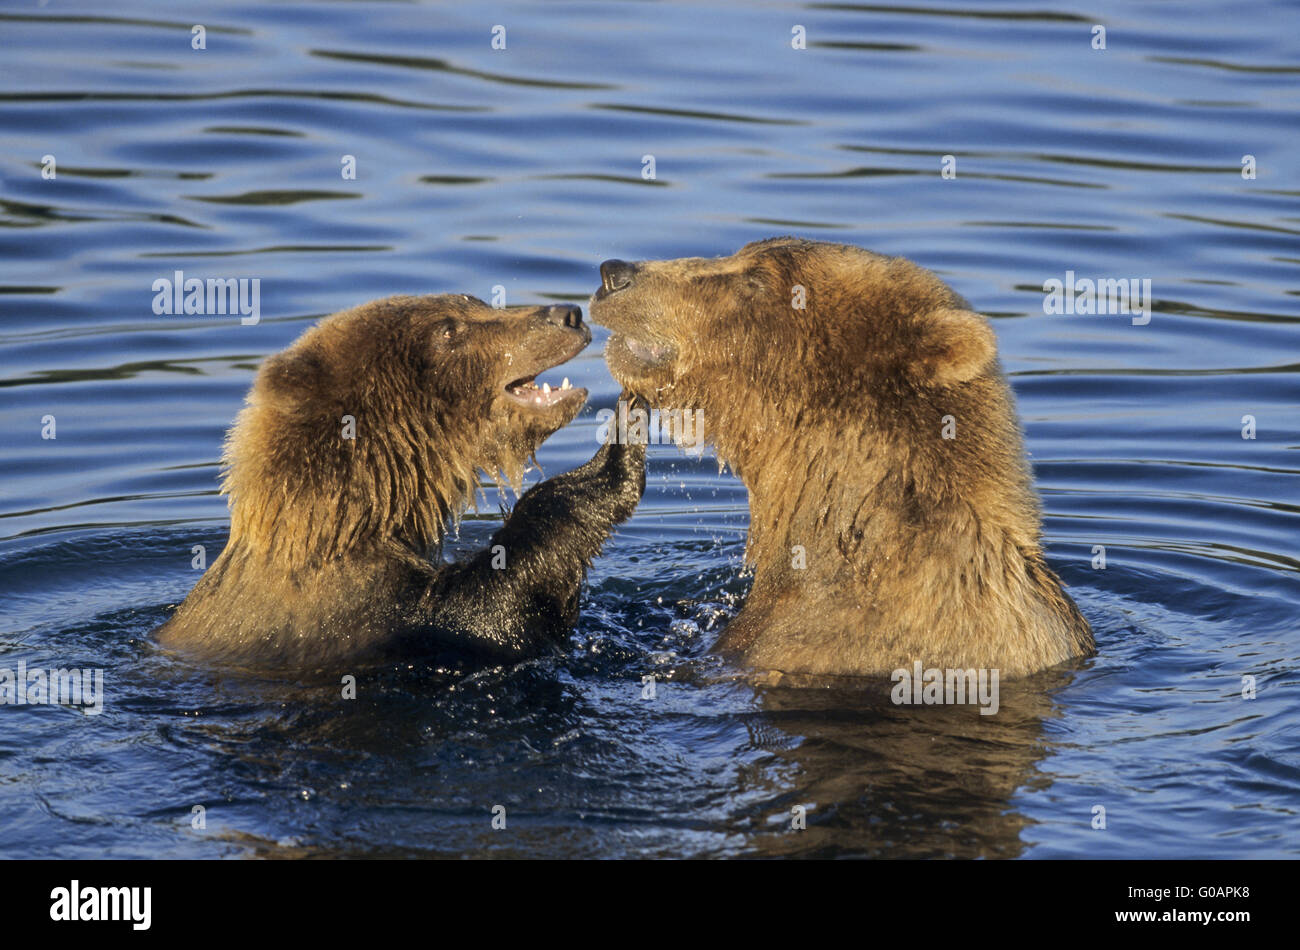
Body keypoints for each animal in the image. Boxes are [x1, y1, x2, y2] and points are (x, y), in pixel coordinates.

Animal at [158, 295, 644, 670]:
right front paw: (616, 448)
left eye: (479, 303)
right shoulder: (354, 611)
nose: (568, 313)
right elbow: (491, 606)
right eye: (448, 331)